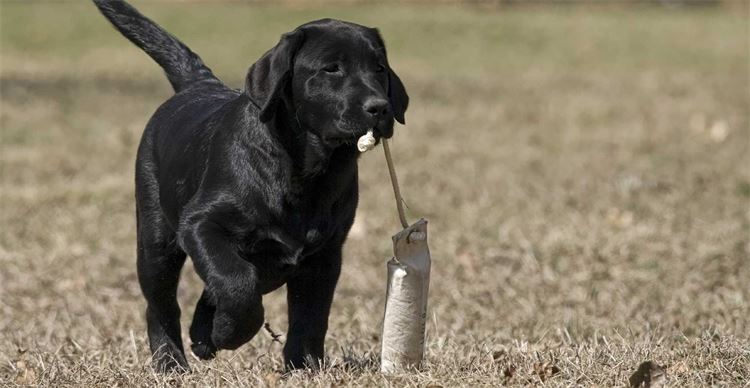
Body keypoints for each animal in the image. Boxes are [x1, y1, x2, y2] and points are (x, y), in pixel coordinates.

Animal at [95, 0, 412, 372]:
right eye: (331, 69)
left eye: (379, 68)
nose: (380, 108)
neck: (305, 171)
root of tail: (198, 86)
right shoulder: (201, 224)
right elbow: (235, 282)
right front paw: (227, 333)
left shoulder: (325, 255)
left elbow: (310, 315)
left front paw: (303, 365)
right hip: (156, 240)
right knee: (161, 304)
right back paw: (171, 362)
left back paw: (201, 335)